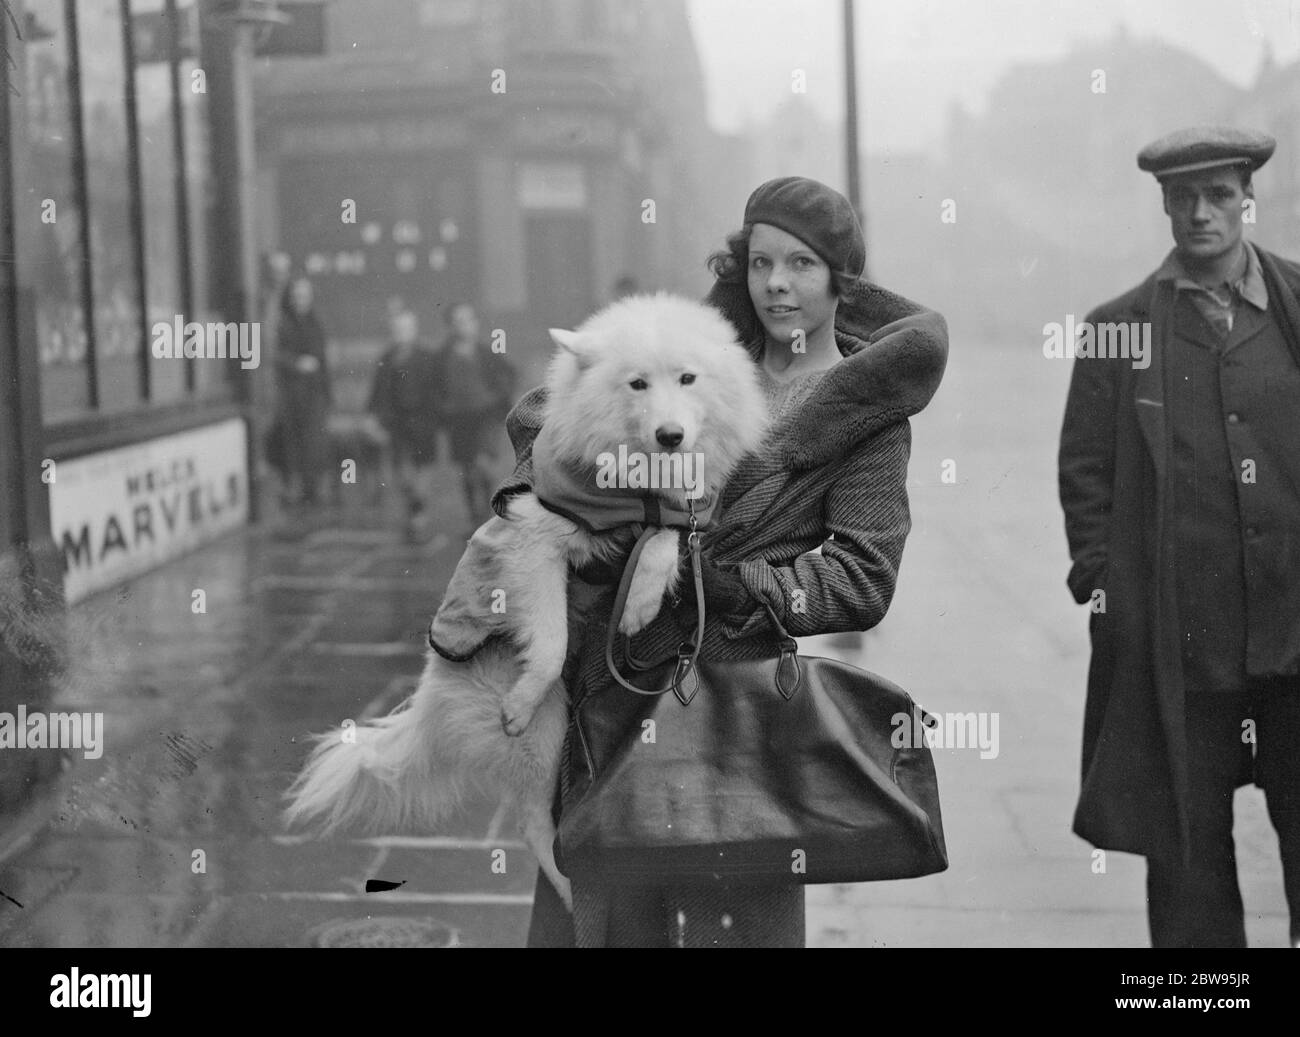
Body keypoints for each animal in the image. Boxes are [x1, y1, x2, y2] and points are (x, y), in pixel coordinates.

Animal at [282, 292, 769, 909]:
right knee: (533, 823)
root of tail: (429, 700)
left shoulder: (684, 513)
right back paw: (569, 885)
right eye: (637, 384)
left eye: (688, 378)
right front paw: (528, 689)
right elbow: (552, 638)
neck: (635, 483)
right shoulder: (536, 542)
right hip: (542, 738)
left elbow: (662, 539)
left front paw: (638, 602)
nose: (671, 435)